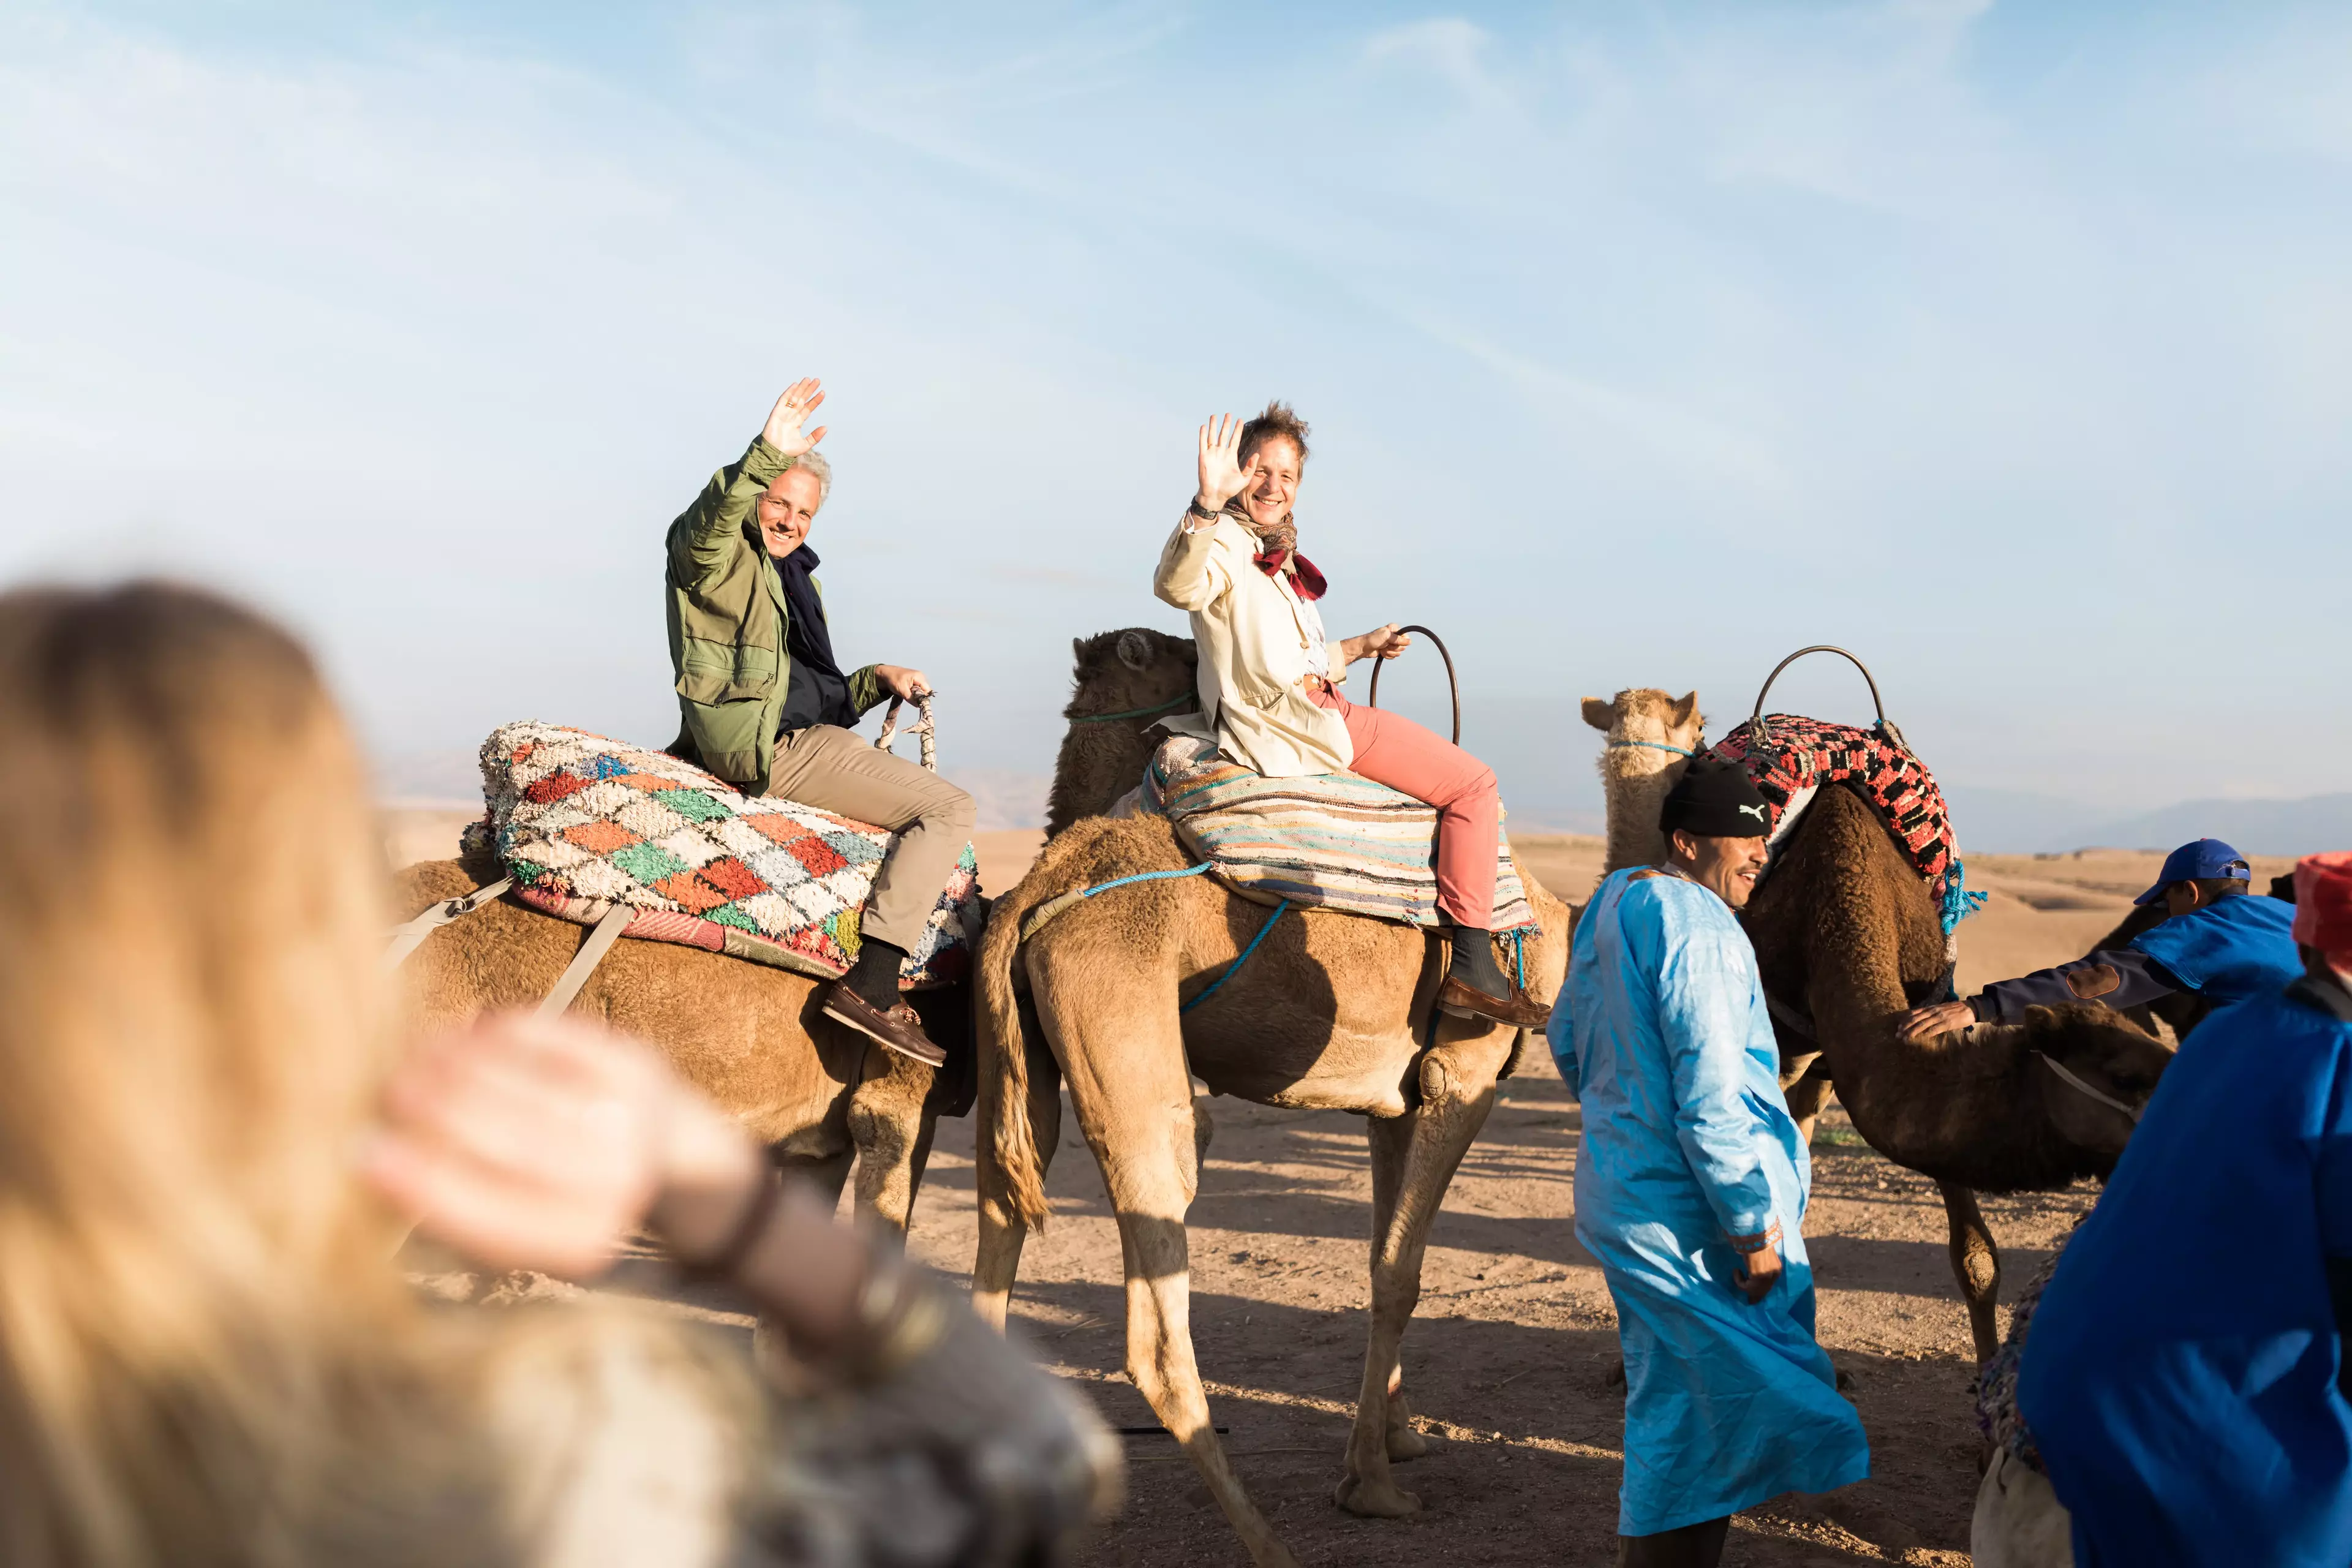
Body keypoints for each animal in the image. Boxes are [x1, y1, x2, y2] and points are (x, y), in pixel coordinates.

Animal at [973, 630, 1580, 1568]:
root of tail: (1038, 889)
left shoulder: (1397, 1103)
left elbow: (1381, 1259)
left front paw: (1397, 1438)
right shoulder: (1464, 1077)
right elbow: (1402, 1274)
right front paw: (1370, 1485)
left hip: (1019, 1072)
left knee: (998, 1241)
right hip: (1141, 1079)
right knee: (1156, 1329)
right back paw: (1268, 1543)